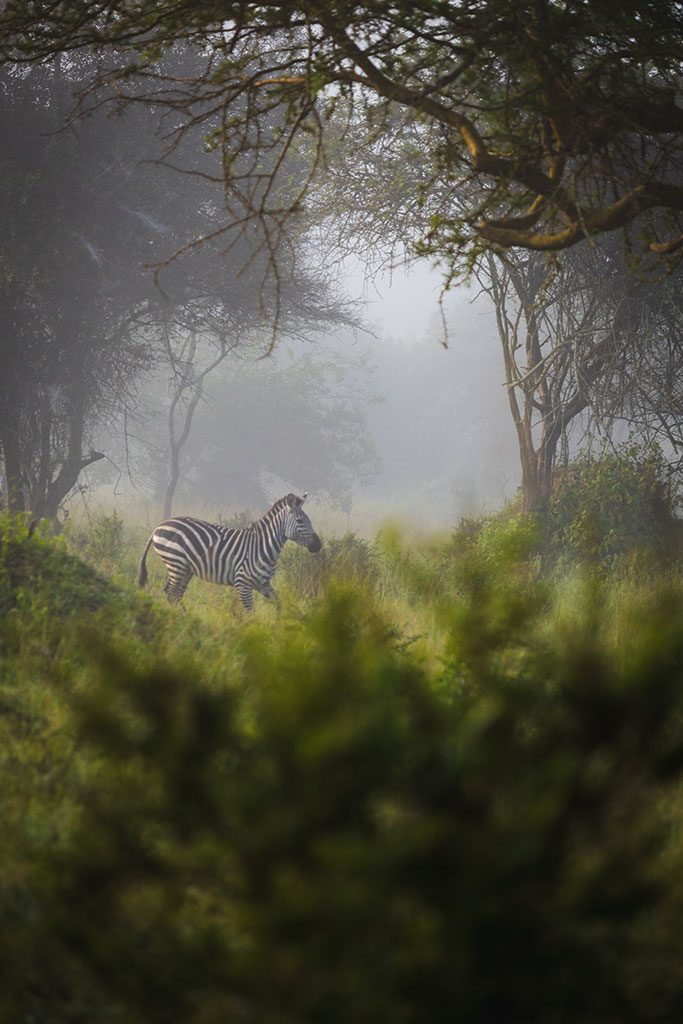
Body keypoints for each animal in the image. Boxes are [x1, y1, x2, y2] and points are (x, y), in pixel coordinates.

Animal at [138, 492, 321, 611]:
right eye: (300, 521)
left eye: (309, 520)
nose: (318, 545)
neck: (264, 546)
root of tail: (159, 526)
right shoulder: (242, 584)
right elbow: (250, 614)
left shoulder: (264, 584)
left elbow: (279, 604)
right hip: (176, 563)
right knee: (170, 592)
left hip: (185, 570)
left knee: (175, 595)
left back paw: (184, 618)